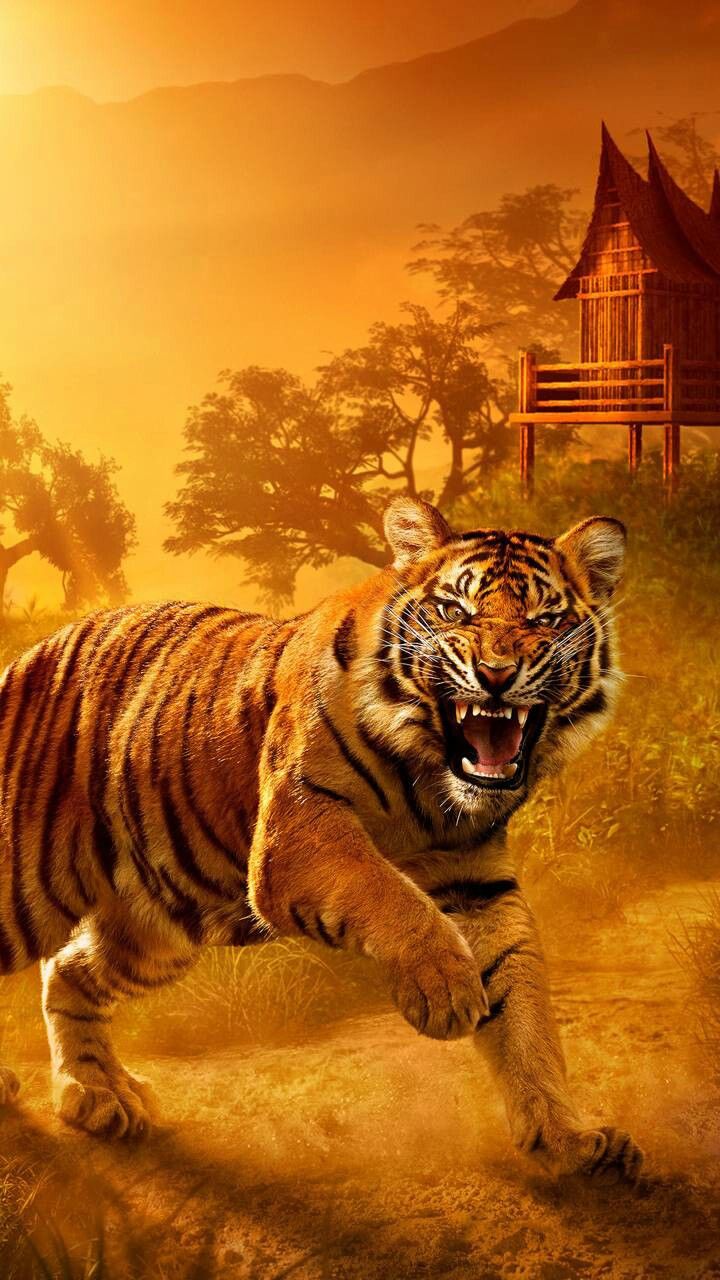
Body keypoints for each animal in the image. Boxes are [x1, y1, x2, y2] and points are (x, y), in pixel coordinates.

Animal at [0, 496, 642, 1181]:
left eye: (547, 620)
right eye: (455, 612)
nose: (496, 675)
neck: (431, 785)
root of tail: (33, 651)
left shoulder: (477, 883)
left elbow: (525, 1008)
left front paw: (568, 1139)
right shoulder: (300, 828)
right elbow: (388, 892)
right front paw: (444, 988)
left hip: (157, 925)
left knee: (66, 971)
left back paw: (97, 1094)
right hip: (28, 884)